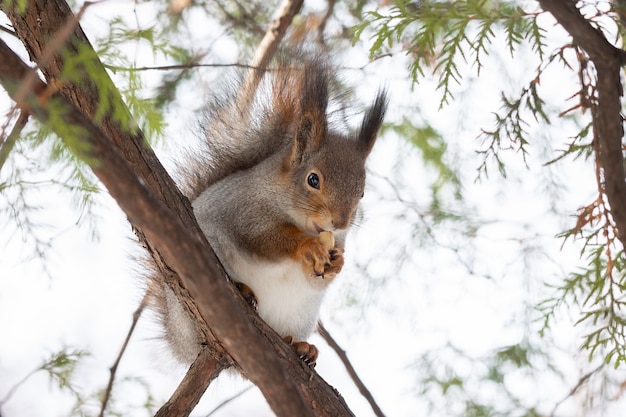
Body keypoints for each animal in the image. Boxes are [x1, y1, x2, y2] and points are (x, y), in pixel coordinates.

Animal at [151, 52, 386, 368]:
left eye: (362, 192)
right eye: (313, 179)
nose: (339, 222)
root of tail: (182, 345)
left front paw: (338, 262)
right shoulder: (243, 210)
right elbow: (261, 239)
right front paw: (306, 247)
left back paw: (301, 346)